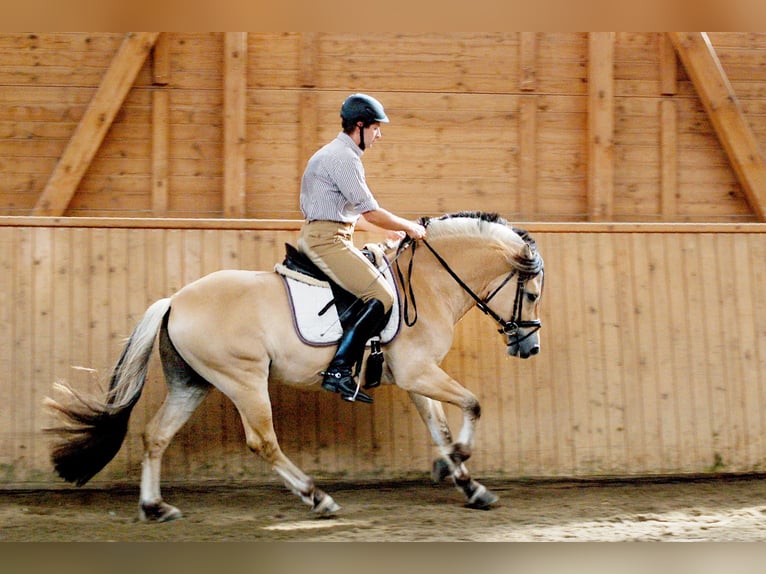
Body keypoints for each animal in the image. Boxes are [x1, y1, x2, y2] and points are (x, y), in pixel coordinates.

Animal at [44, 211, 545, 521]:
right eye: (533, 293)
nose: (529, 348)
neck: (427, 282)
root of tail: (174, 302)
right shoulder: (418, 372)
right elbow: (474, 404)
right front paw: (455, 462)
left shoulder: (416, 378)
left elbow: (441, 428)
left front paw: (466, 482)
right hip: (244, 379)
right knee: (263, 442)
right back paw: (317, 497)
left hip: (192, 383)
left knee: (156, 436)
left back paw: (155, 508)